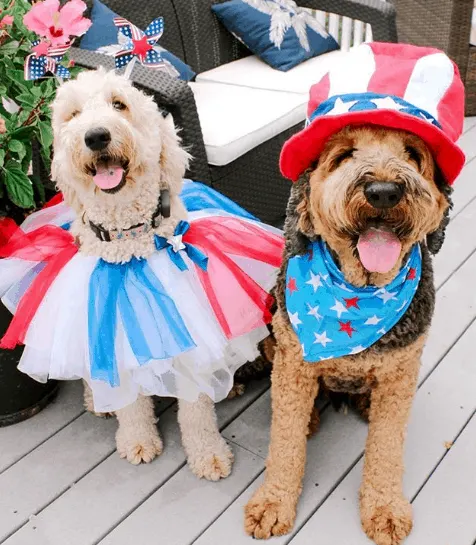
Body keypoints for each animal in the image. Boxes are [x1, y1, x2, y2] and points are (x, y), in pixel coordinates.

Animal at [245, 126, 450, 544]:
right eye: (343, 156)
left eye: (412, 154)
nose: (384, 191)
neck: (360, 292)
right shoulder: (293, 365)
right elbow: (284, 442)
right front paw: (273, 502)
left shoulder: (402, 372)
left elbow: (387, 447)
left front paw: (385, 508)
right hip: (273, 335)